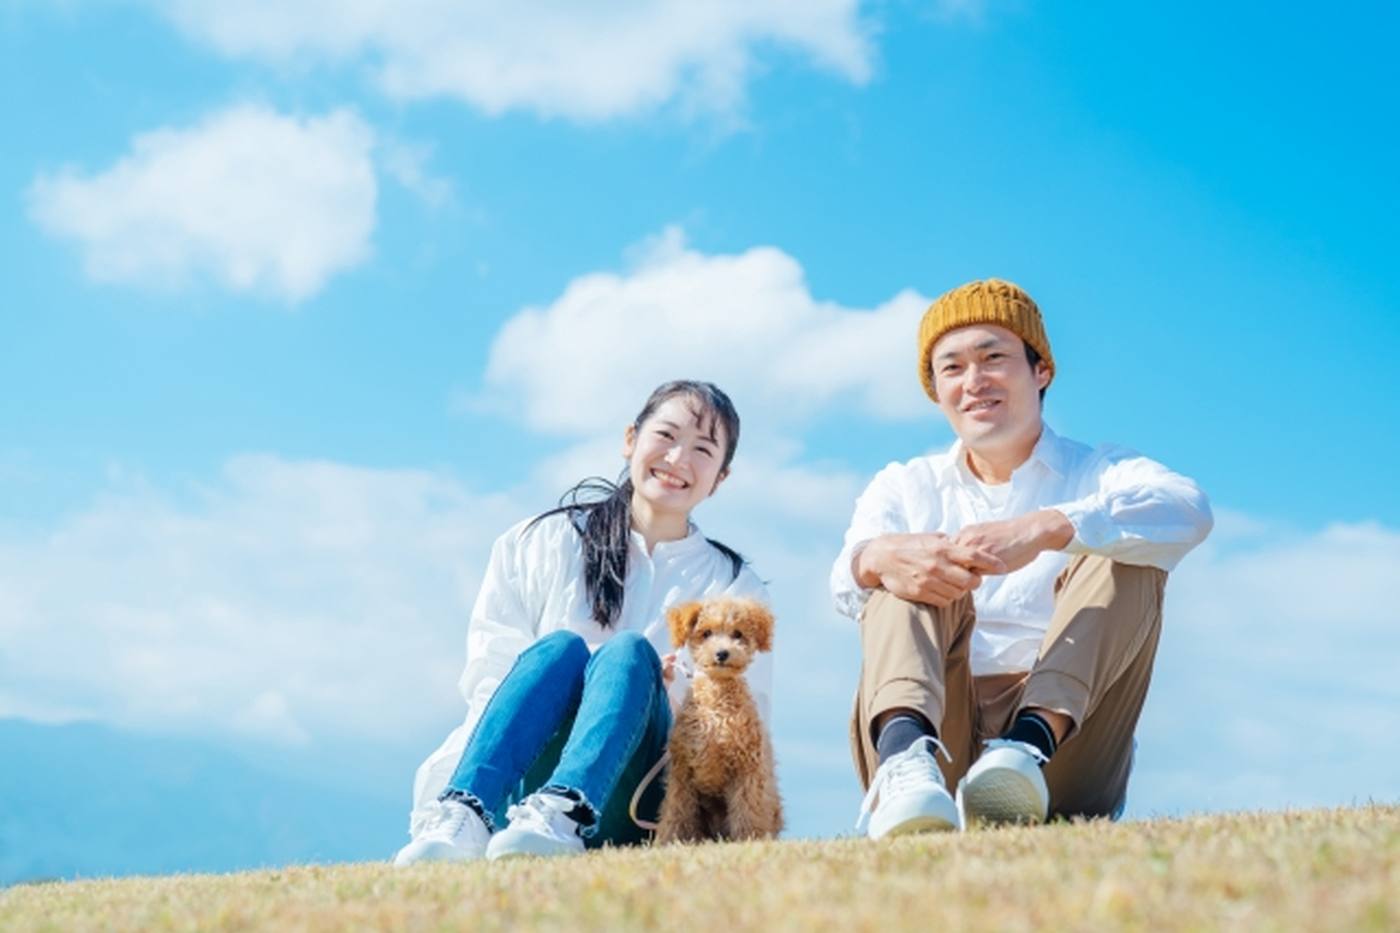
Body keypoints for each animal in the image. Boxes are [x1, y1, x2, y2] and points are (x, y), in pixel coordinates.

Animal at [652, 596, 784, 840]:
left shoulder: (747, 768)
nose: (722, 653)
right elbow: (676, 810)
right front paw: (669, 840)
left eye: (738, 634)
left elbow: (746, 809)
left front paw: (748, 838)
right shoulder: (682, 770)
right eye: (706, 633)